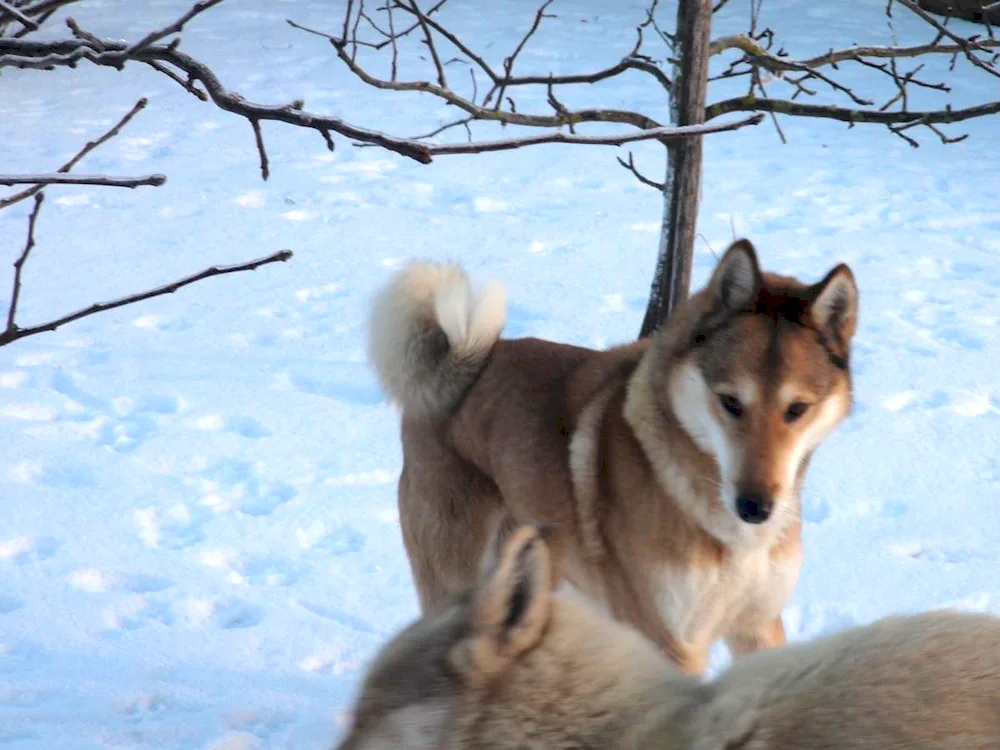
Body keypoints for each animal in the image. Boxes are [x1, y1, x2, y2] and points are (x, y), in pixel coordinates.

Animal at [368, 241, 860, 676]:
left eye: (797, 409)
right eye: (731, 402)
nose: (756, 508)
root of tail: (455, 366)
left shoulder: (756, 624)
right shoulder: (671, 641)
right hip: (454, 572)